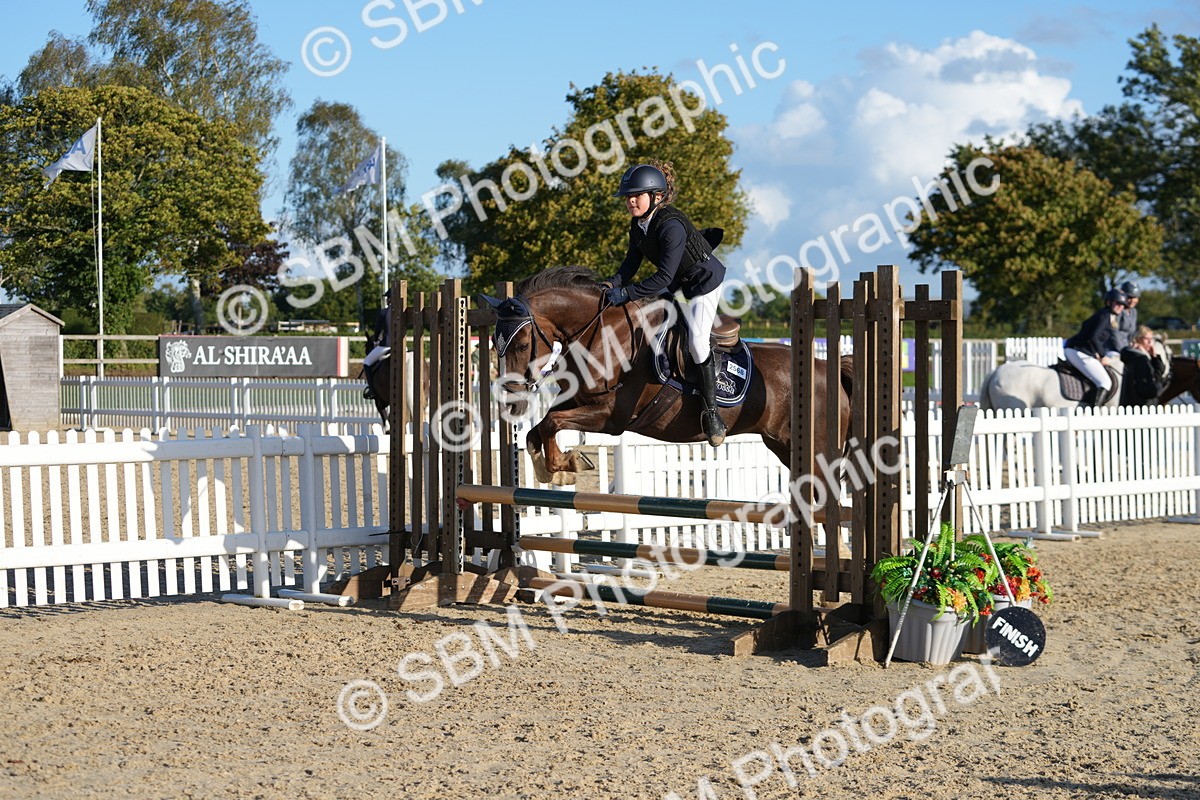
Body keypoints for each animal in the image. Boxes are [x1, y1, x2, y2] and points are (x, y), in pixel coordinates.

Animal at [478, 265, 852, 485]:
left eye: (522, 343)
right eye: (496, 345)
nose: (511, 404)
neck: (602, 334)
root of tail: (828, 369)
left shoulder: (610, 417)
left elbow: (552, 424)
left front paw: (570, 463)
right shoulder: (581, 402)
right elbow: (537, 430)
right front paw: (552, 471)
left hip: (816, 453)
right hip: (784, 446)